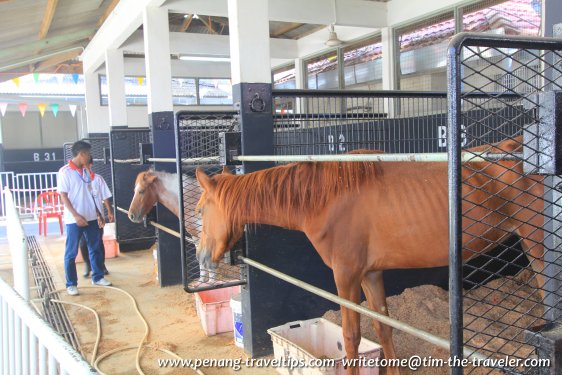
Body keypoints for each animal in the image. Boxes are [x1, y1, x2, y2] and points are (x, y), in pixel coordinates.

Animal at [196, 139, 544, 375]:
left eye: (200, 210)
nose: (201, 258)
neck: (323, 198)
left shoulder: (346, 275)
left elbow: (351, 336)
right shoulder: (369, 274)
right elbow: (383, 326)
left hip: (538, 247)